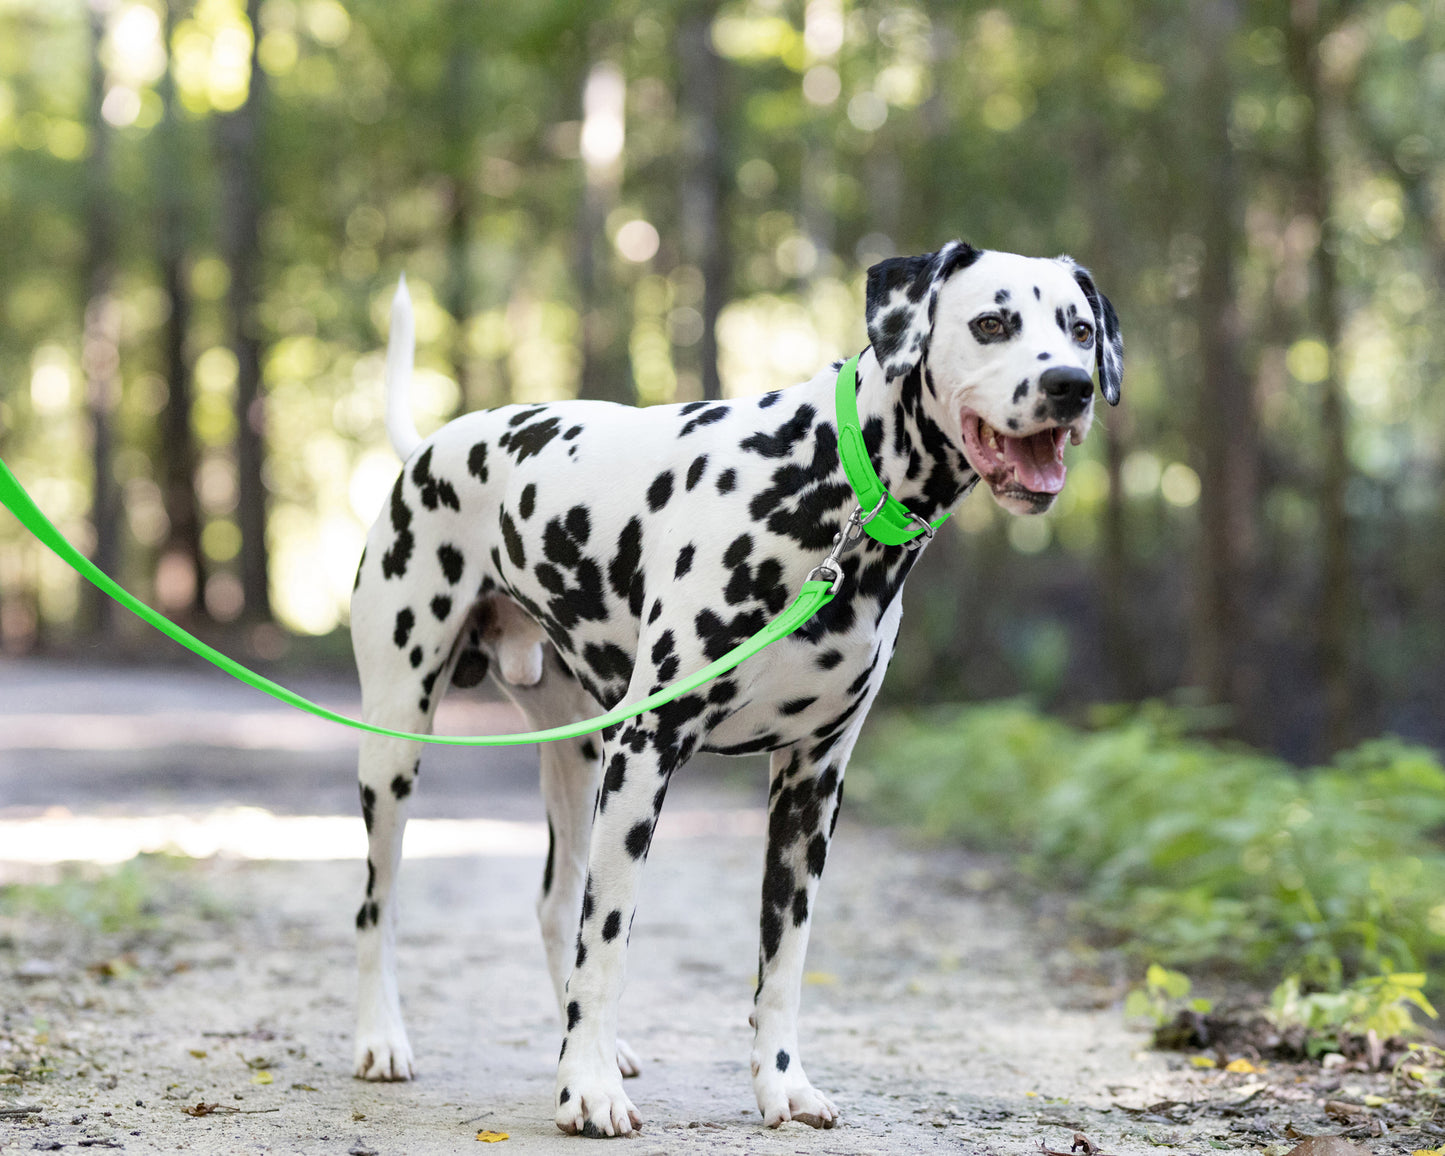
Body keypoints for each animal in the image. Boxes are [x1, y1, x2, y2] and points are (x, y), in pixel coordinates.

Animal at [346, 239, 1115, 1132]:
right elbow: (609, 939)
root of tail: (430, 447)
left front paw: (780, 1084)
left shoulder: (810, 786)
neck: (831, 486)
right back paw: (383, 1040)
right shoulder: (646, 755)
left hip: (576, 758)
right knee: (379, 905)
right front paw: (587, 1091)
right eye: (991, 322)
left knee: (554, 904)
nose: (1070, 385)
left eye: (1079, 329)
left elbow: (782, 961)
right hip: (397, 748)